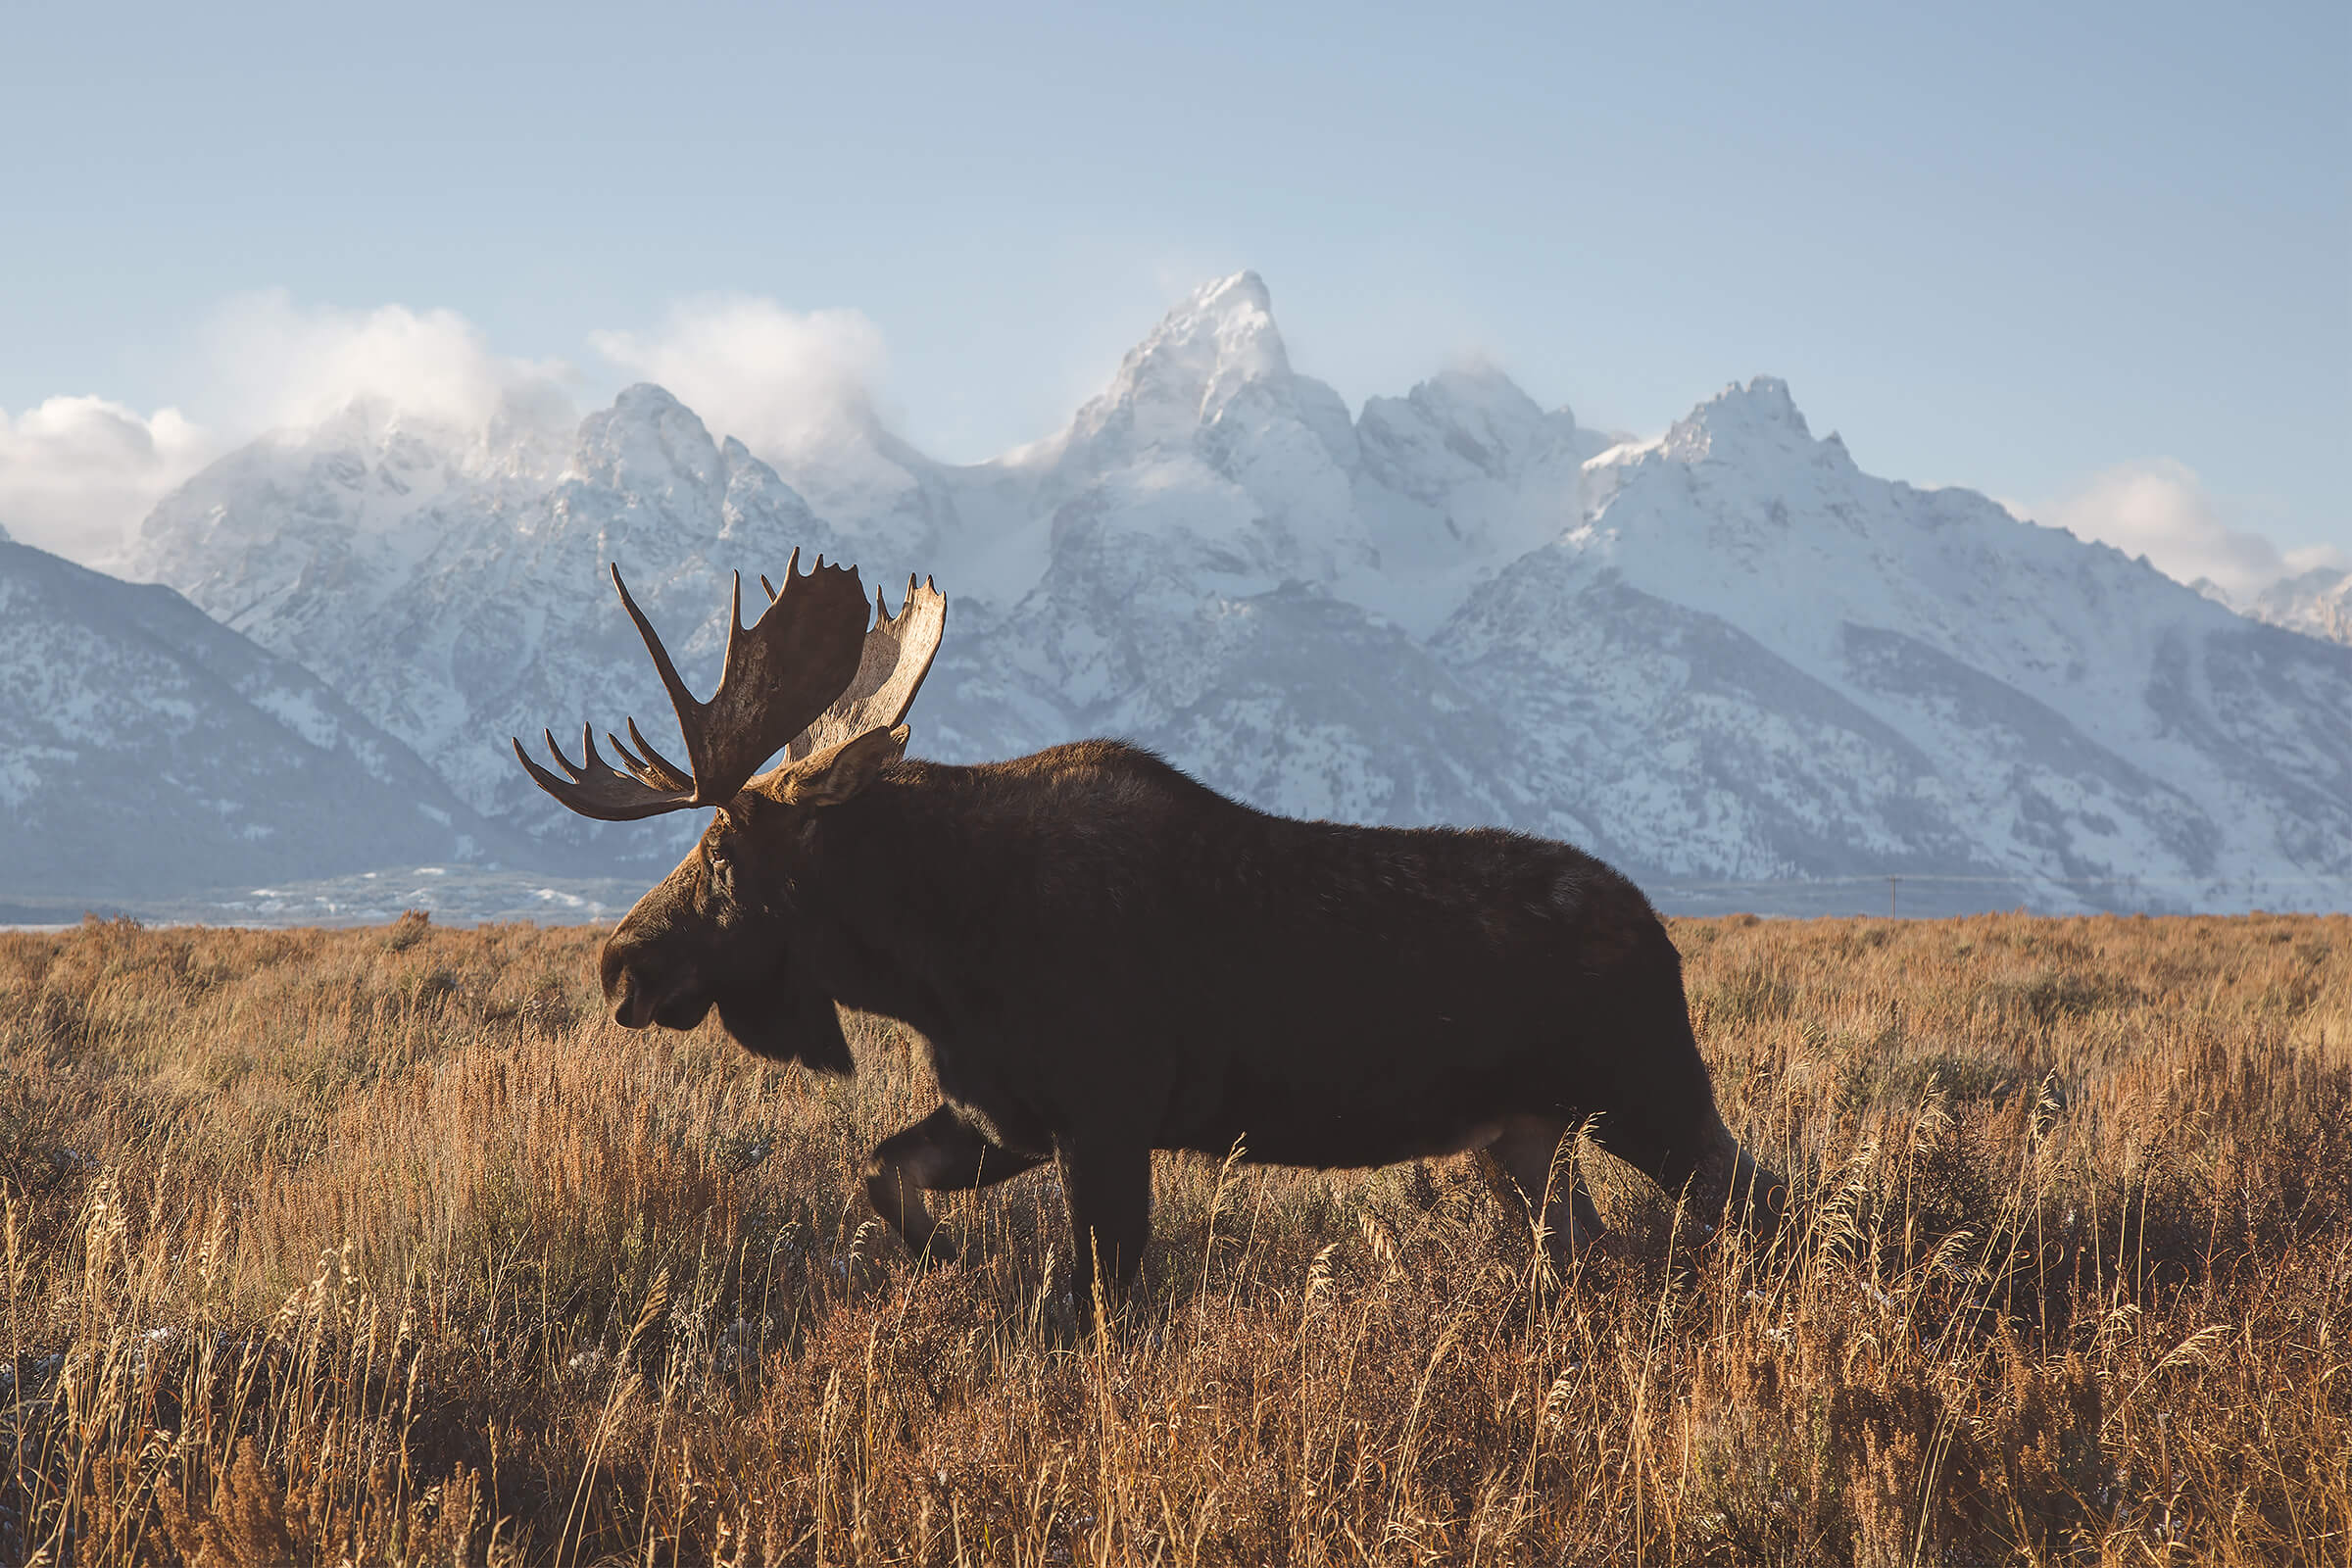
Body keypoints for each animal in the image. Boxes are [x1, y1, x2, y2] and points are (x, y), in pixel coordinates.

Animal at [516, 551, 1784, 1322]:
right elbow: (885, 1175)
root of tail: (1662, 932)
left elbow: (1098, 1300)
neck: (929, 958)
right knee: (1598, 1249)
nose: (621, 963)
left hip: (1649, 1095)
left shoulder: (1110, 1115)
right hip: (1520, 1139)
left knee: (1766, 1201)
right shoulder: (1004, 1112)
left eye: (728, 856)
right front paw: (952, 1262)